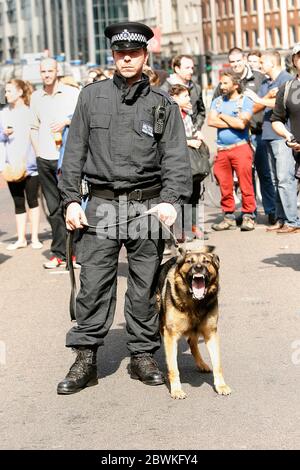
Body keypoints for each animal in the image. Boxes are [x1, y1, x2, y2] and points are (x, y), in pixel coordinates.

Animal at [158, 244, 231, 398]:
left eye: (206, 262)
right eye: (189, 262)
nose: (198, 267)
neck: (195, 302)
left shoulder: (211, 334)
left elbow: (217, 364)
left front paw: (221, 386)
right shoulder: (170, 335)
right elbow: (173, 367)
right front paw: (176, 389)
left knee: (192, 343)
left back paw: (201, 364)